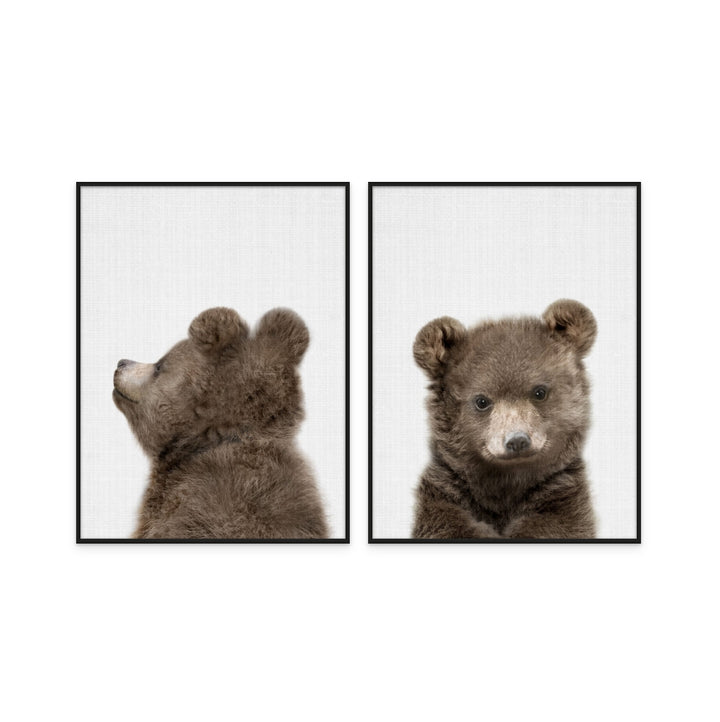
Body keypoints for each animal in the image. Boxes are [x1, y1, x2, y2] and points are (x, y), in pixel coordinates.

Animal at [412, 299, 597, 540]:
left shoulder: (561, 496)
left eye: (539, 391)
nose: (517, 440)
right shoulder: (446, 493)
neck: (506, 484)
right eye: (481, 401)